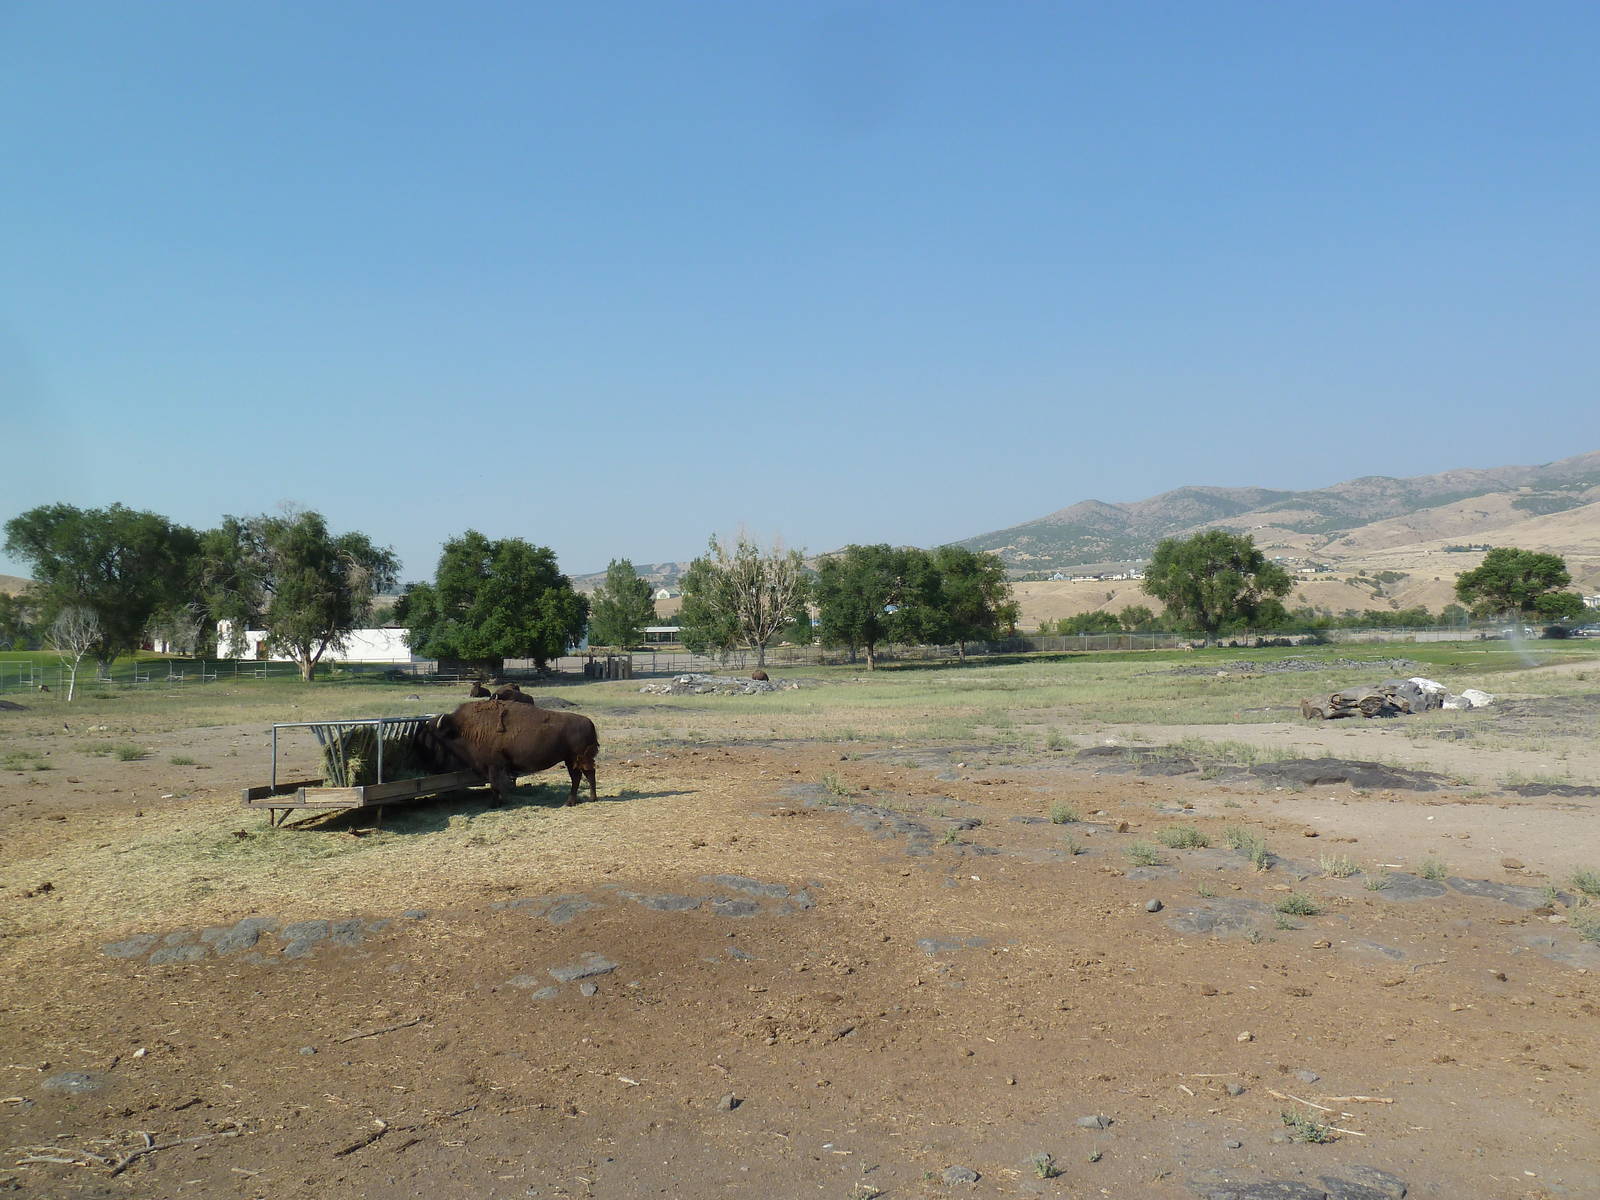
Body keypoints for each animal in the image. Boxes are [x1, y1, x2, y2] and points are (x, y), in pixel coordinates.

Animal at [417, 698, 598, 806]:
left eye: (432, 733)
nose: (420, 742)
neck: (462, 728)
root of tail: (589, 722)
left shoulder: (494, 765)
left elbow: (495, 785)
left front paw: (495, 804)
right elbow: (496, 784)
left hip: (579, 758)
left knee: (588, 774)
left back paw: (589, 799)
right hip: (570, 760)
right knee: (578, 777)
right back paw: (572, 801)